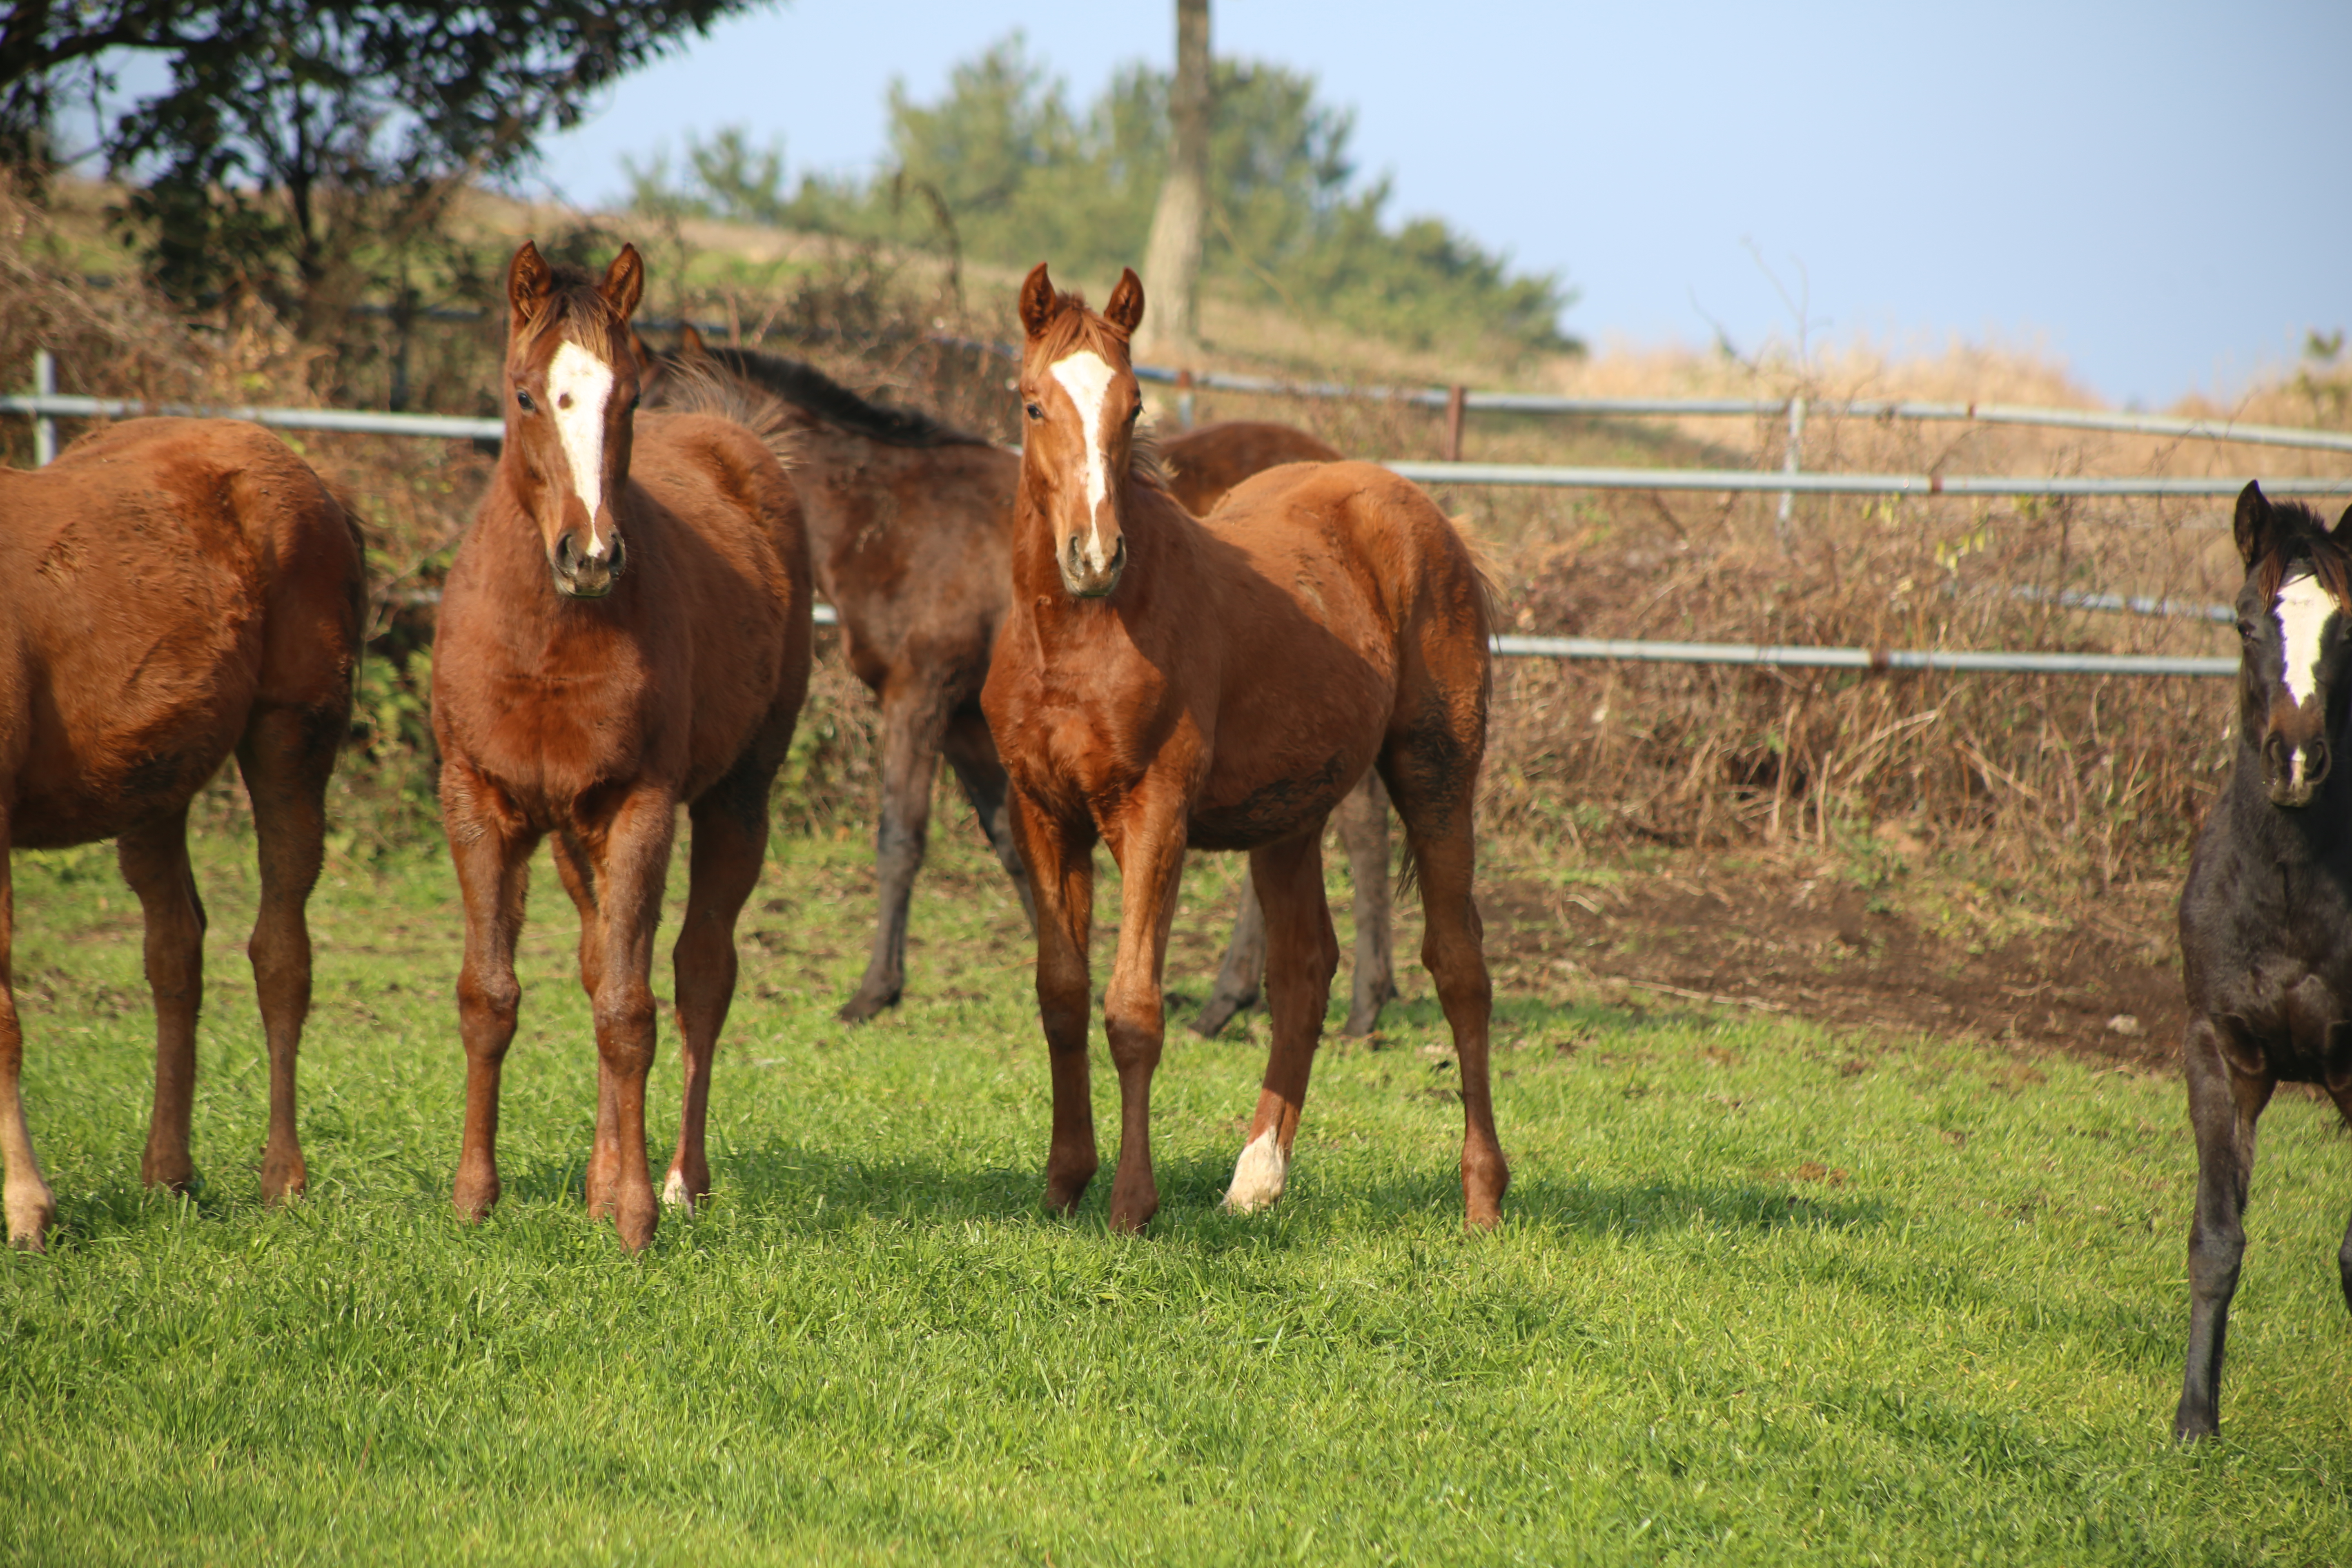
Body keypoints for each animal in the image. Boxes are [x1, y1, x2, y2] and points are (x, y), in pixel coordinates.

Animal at [0, 416, 362, 1250]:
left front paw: (28, 1211)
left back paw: (282, 1180)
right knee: (176, 954)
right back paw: (168, 1174)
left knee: (280, 956)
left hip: (290, 741)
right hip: (152, 780)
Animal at [432, 245, 809, 1250]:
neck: (545, 643)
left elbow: (631, 1012)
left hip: (737, 800)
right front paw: (474, 1198)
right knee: (602, 958)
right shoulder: (478, 799)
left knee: (700, 975)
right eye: (527, 395)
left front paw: (637, 1218)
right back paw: (602, 1183)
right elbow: (492, 995)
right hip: (573, 833)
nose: (592, 555)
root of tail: (734, 436)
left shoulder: (642, 807)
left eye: (629, 397)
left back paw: (678, 1182)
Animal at [639, 331, 1392, 1034]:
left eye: (654, 411)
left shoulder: (918, 697)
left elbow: (900, 838)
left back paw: (1355, 1008)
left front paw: (874, 992)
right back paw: (1234, 1003)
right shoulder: (972, 722)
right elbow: (1010, 841)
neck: (896, 521)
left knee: (1358, 825)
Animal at [978, 263, 1505, 1232]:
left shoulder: (1155, 813)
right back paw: (1256, 1179)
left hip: (1437, 776)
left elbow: (1133, 1009)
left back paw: (1482, 1194)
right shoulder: (1042, 812)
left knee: (1460, 966)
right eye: (1033, 404)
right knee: (1304, 971)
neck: (1078, 639)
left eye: (1135, 404)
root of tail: (1421, 509)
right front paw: (1065, 1183)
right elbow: (1061, 996)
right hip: (1289, 817)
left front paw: (1132, 1207)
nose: (1094, 556)